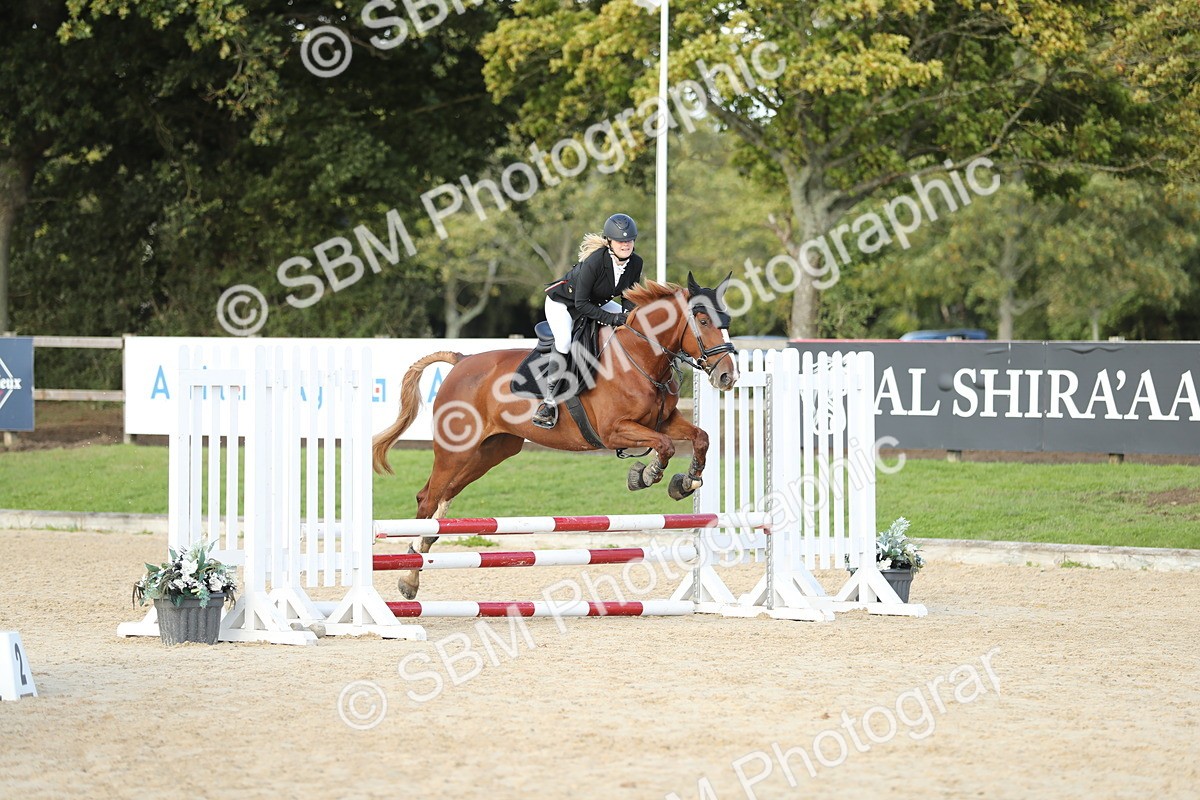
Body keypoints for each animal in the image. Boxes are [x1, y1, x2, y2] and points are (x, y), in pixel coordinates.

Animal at [371, 273, 740, 600]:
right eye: (703, 320)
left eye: (726, 320)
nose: (727, 377)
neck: (641, 357)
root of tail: (461, 361)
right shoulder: (615, 431)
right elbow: (664, 446)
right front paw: (645, 474)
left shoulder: (665, 421)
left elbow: (701, 437)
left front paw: (686, 481)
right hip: (455, 450)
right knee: (427, 499)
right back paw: (408, 575)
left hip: (490, 452)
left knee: (443, 499)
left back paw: (413, 572)